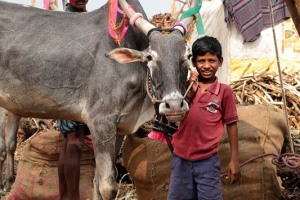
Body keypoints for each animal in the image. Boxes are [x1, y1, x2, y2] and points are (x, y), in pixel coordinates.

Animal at [0, 0, 193, 198]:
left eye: (188, 56)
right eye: (150, 57)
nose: (175, 105)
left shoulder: (119, 127)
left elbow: (97, 180)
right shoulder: (101, 122)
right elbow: (107, 187)